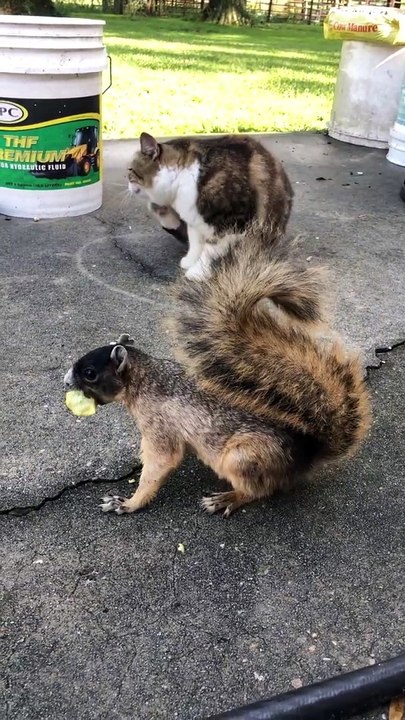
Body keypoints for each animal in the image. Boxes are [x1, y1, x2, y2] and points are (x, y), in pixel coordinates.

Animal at [64, 225, 371, 517]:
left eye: (89, 373)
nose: (66, 382)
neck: (144, 379)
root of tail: (305, 456)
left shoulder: (159, 426)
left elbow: (160, 464)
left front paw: (129, 502)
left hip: (242, 458)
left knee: (260, 490)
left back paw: (228, 499)